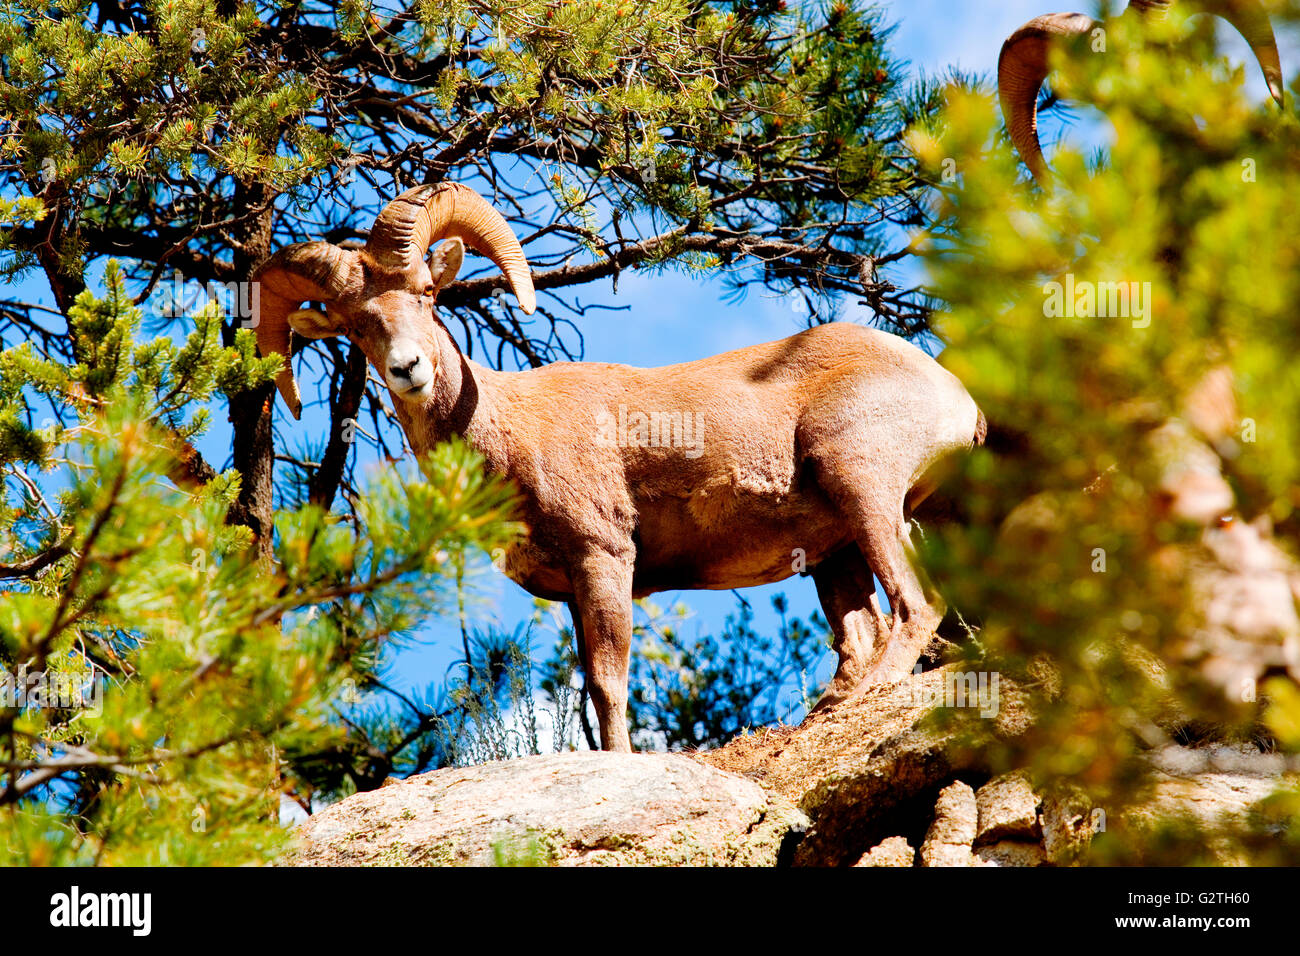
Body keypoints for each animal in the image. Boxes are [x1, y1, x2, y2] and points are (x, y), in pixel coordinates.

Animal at [252, 183, 986, 752]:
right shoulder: (575, 591)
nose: (408, 369)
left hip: (862, 488)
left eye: (428, 295)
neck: (507, 433)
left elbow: (608, 685)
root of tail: (958, 397)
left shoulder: (604, 558)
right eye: (356, 326)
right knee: (862, 635)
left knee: (915, 605)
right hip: (833, 553)